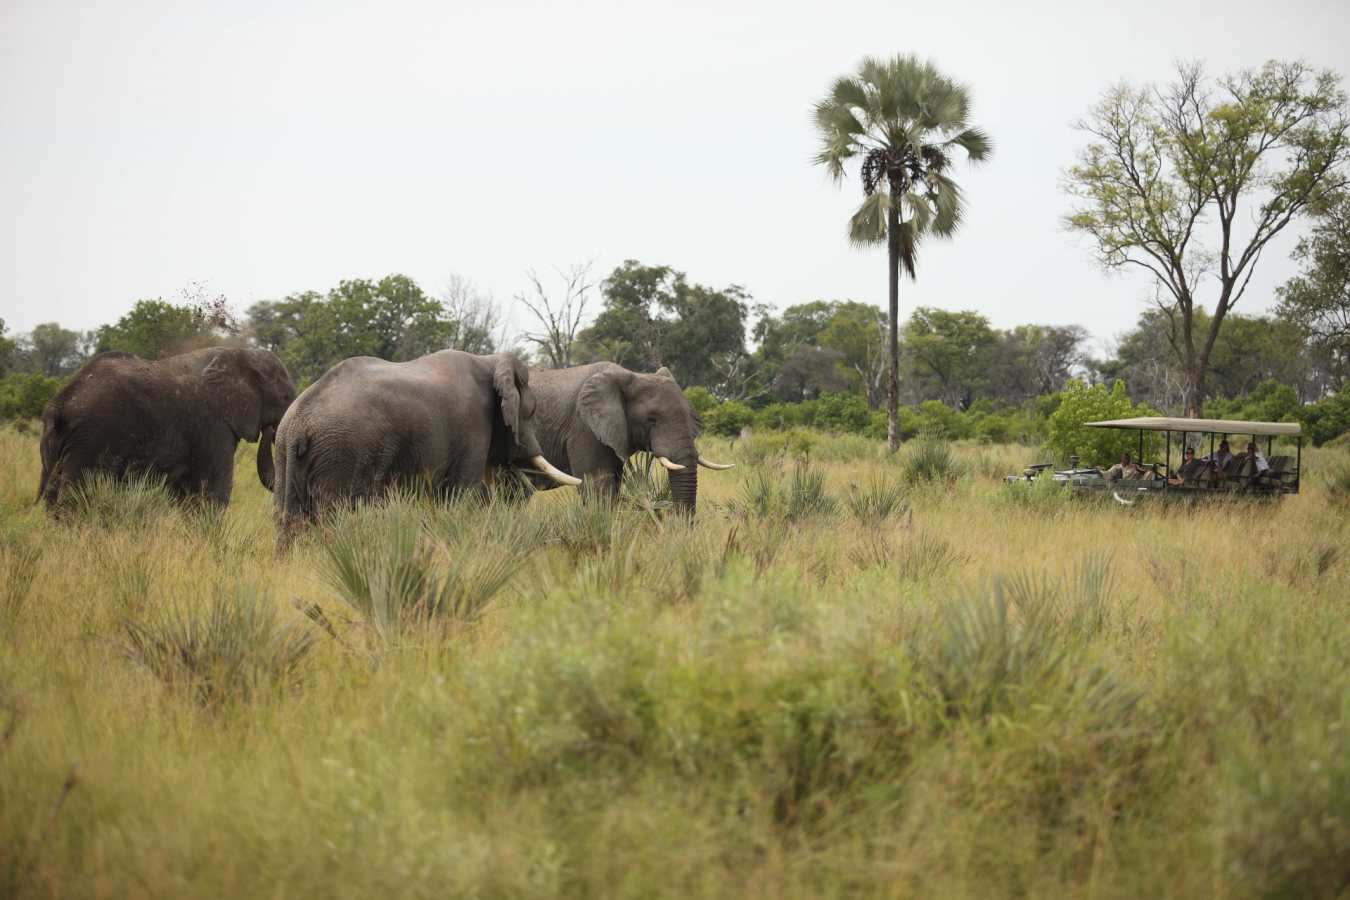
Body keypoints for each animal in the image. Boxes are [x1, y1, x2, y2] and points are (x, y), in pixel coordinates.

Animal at [37, 347, 297, 509]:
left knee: (52, 496)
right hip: (91, 439)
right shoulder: (212, 425)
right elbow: (214, 492)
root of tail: (60, 404)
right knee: (74, 494)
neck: (240, 353)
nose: (270, 430)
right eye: (285, 397)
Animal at [271, 349, 578, 549]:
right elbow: (460, 493)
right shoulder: (473, 425)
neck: (489, 360)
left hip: (285, 454)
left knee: (288, 518)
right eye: (532, 411)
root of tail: (299, 422)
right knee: (332, 516)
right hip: (341, 453)